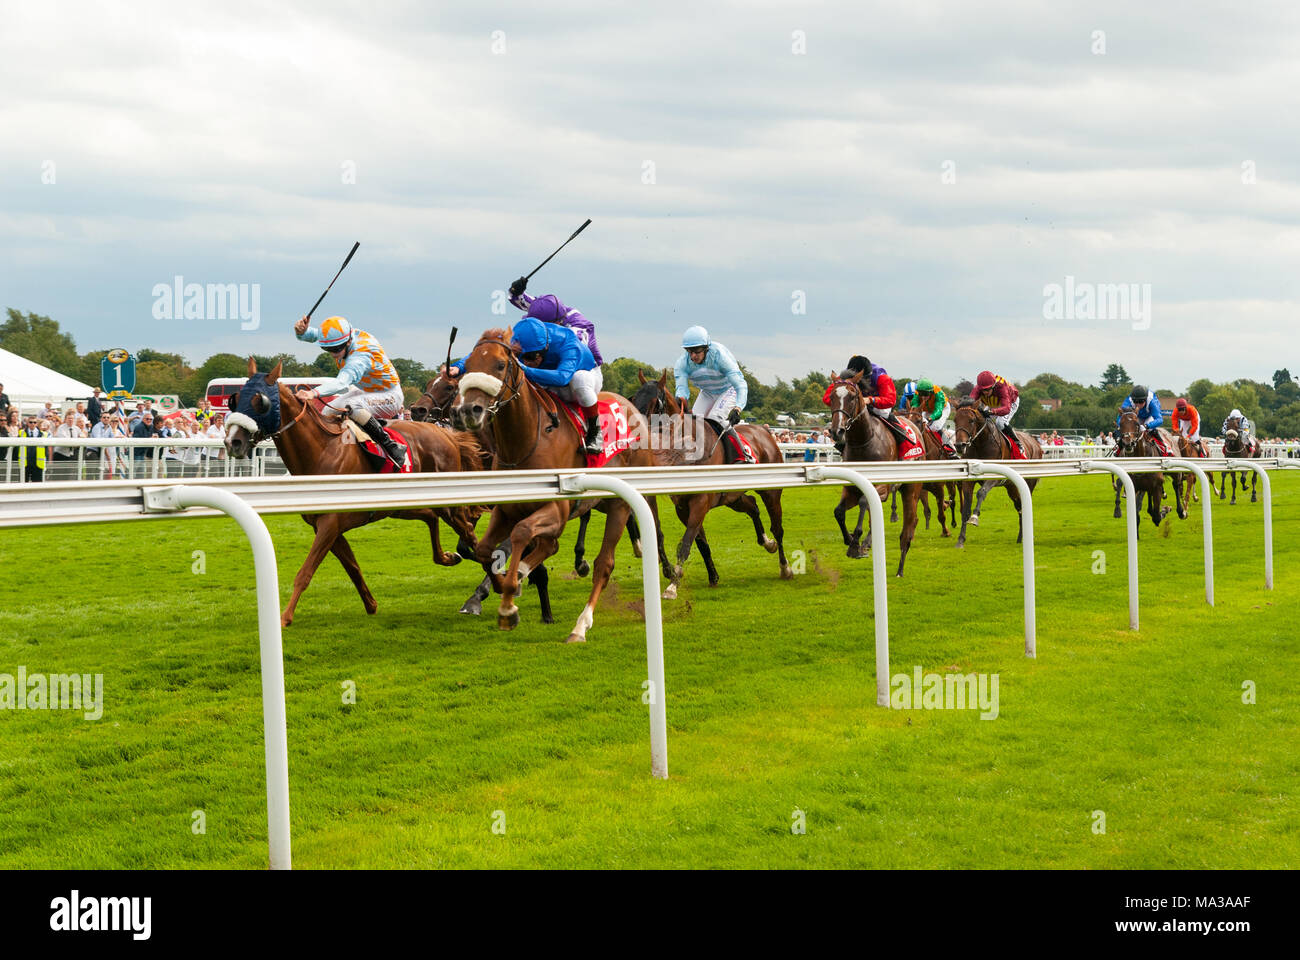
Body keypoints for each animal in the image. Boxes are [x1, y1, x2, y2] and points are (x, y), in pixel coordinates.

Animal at [226, 359, 486, 629]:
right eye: (235, 400)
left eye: (260, 401)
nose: (232, 441)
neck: (322, 451)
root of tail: (446, 434)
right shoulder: (326, 527)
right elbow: (352, 567)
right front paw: (371, 604)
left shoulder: (330, 523)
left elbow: (305, 572)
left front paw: (284, 618)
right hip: (401, 507)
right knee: (431, 517)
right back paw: (448, 557)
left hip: (448, 504)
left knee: (468, 531)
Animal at [452, 325, 665, 640]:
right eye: (468, 365)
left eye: (500, 365)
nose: (468, 411)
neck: (526, 441)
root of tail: (632, 408)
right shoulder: (505, 509)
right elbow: (484, 550)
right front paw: (503, 589)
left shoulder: (557, 507)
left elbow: (521, 533)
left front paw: (508, 602)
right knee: (551, 546)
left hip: (619, 504)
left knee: (604, 564)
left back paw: (581, 625)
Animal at [631, 369, 790, 598]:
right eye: (634, 400)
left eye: (656, 404)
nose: (636, 437)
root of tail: (766, 432)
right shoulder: (683, 506)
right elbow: (700, 542)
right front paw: (712, 577)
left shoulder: (700, 501)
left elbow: (686, 543)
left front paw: (672, 586)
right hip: (732, 497)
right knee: (752, 505)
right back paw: (767, 543)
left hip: (771, 492)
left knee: (777, 527)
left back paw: (785, 567)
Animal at [821, 369, 925, 572]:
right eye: (831, 397)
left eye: (852, 397)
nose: (837, 431)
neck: (863, 441)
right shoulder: (851, 487)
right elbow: (839, 511)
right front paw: (850, 539)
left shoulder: (883, 487)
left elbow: (864, 502)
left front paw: (855, 544)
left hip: (911, 488)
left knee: (911, 517)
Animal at [956, 398, 1045, 546]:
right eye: (956, 419)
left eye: (971, 420)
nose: (959, 445)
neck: (981, 444)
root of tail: (1035, 442)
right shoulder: (969, 479)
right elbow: (965, 509)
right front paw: (960, 540)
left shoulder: (994, 477)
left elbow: (981, 493)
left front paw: (975, 517)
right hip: (1012, 487)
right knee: (1019, 506)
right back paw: (1020, 537)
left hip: (1029, 482)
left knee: (1024, 505)